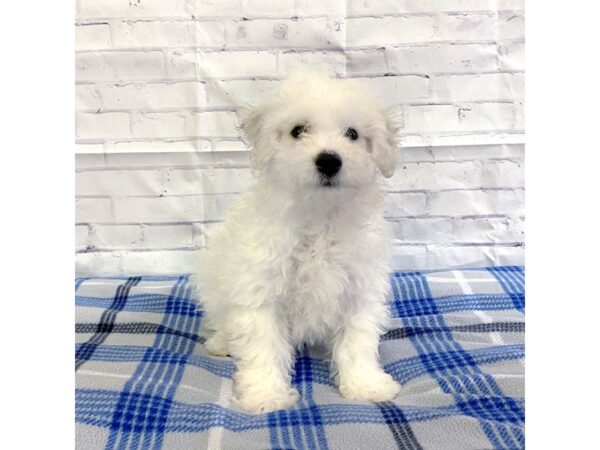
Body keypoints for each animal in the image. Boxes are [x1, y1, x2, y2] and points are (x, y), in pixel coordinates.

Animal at [195, 71, 400, 414]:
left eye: (353, 134)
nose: (329, 161)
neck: (319, 215)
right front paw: (265, 395)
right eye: (298, 130)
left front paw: (365, 385)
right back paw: (222, 342)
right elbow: (262, 346)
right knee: (222, 320)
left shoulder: (360, 289)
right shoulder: (260, 291)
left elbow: (357, 340)